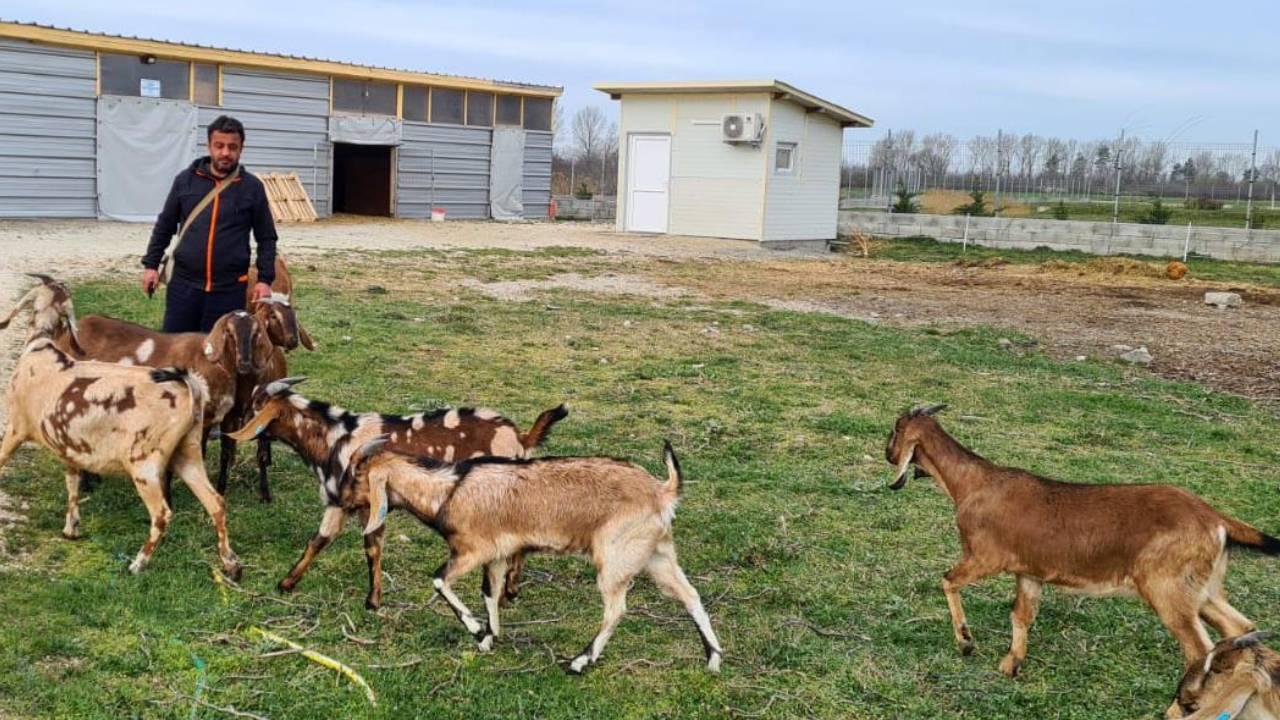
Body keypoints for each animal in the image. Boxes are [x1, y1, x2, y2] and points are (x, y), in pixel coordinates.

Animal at [0, 272, 241, 576]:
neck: (40, 348)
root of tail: (188, 387)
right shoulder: (67, 446)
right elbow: (72, 484)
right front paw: (71, 528)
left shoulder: (16, 428)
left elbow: (1, 460)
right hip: (188, 453)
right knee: (216, 502)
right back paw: (230, 562)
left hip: (144, 463)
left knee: (162, 514)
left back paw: (139, 563)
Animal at [337, 435, 721, 676]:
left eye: (356, 474)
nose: (339, 499)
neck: (448, 491)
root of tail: (662, 491)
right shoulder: (498, 554)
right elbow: (489, 592)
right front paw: (490, 635)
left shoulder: (473, 550)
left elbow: (439, 580)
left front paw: (477, 630)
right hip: (657, 554)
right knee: (689, 594)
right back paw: (713, 658)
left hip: (614, 557)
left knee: (616, 609)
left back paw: (580, 661)